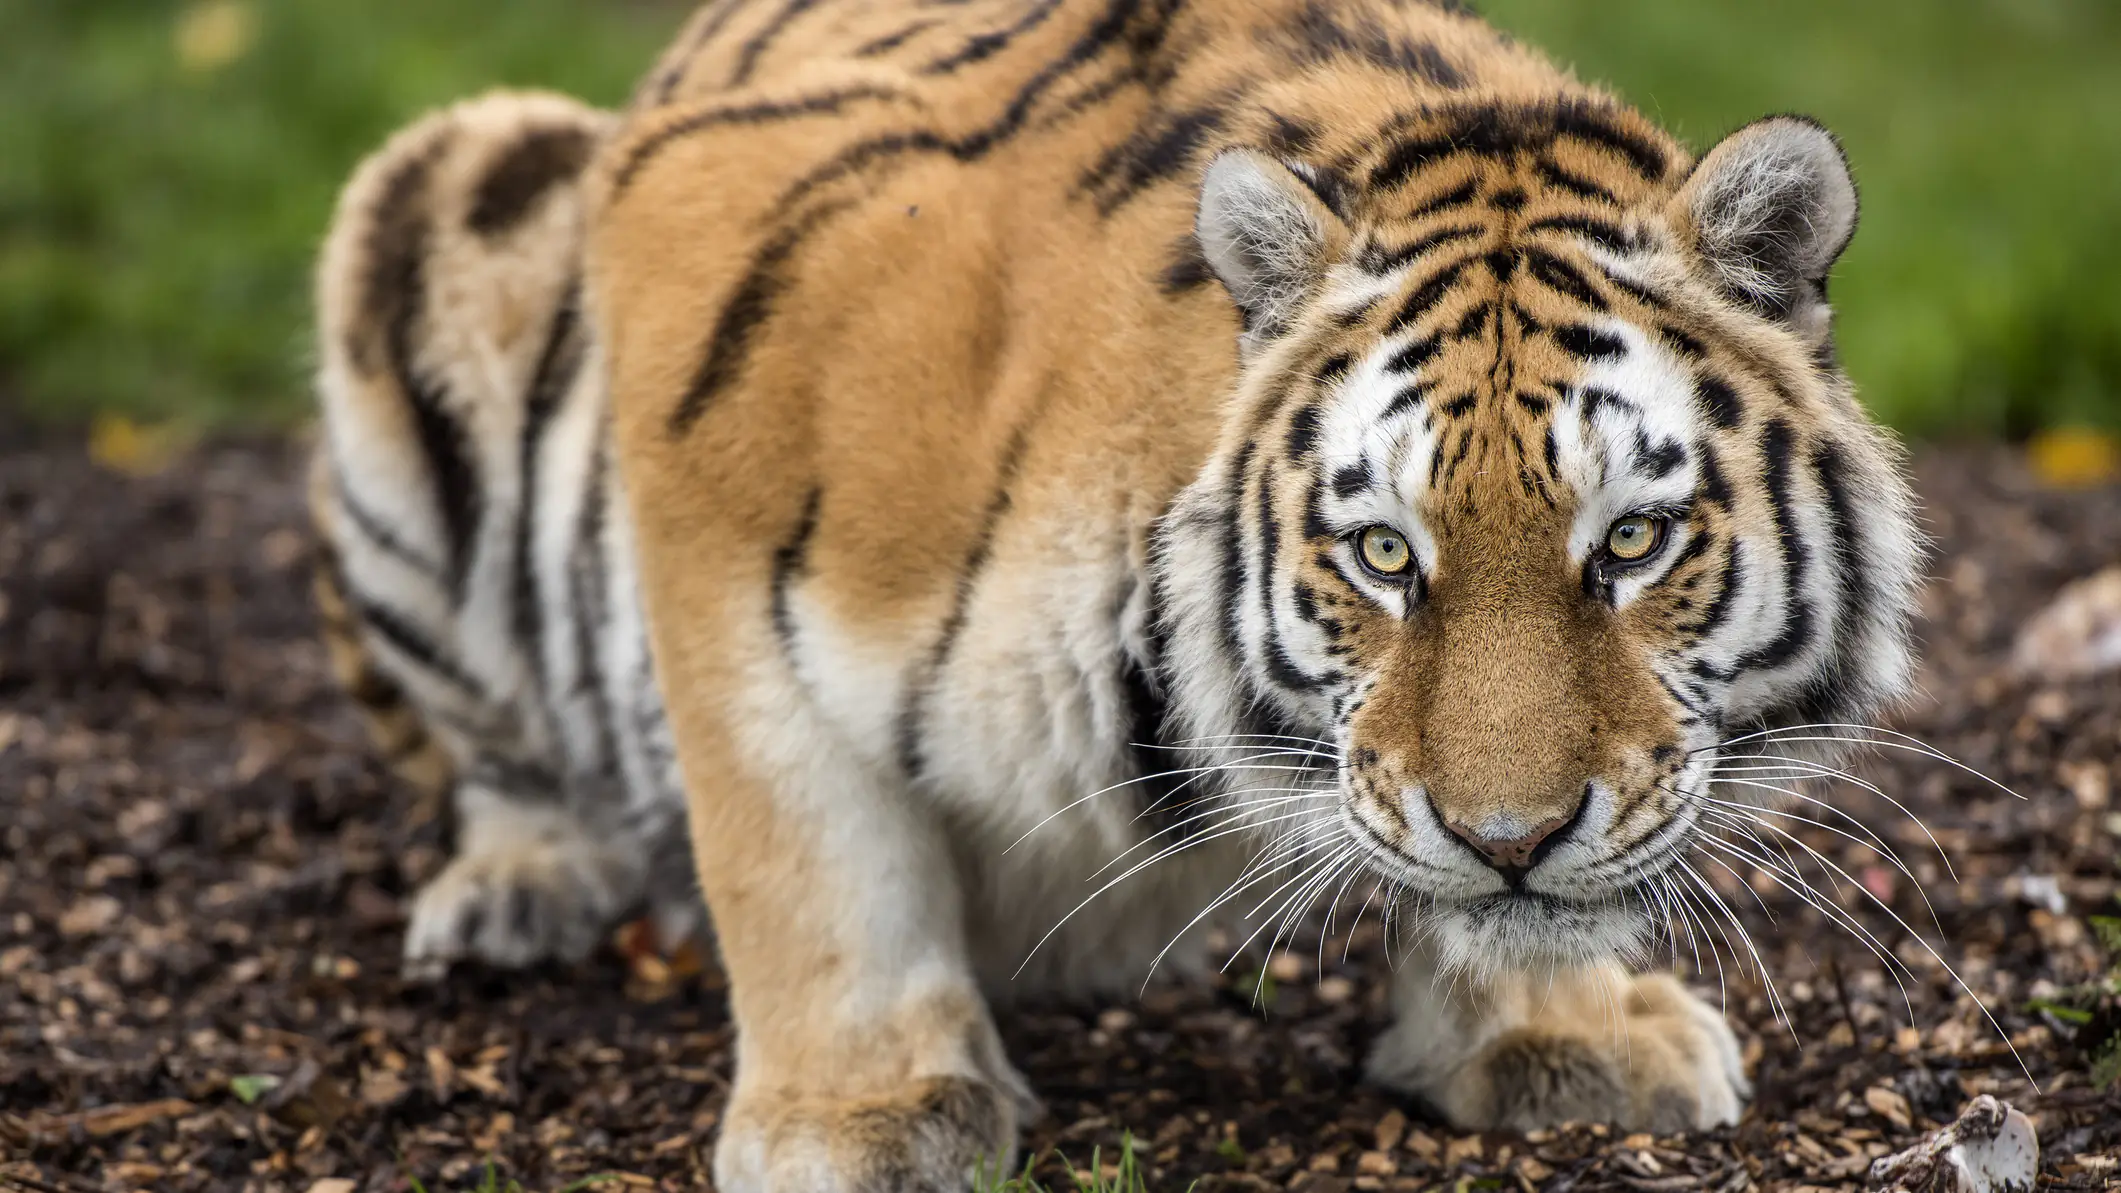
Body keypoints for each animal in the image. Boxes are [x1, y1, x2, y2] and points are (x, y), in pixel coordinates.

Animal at [307, 0, 1924, 1186]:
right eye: (1385, 556)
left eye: (1633, 542)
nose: (1510, 841)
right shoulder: (711, 431)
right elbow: (802, 840)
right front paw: (860, 1115)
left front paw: (1563, 1024)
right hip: (455, 186)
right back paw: (524, 881)